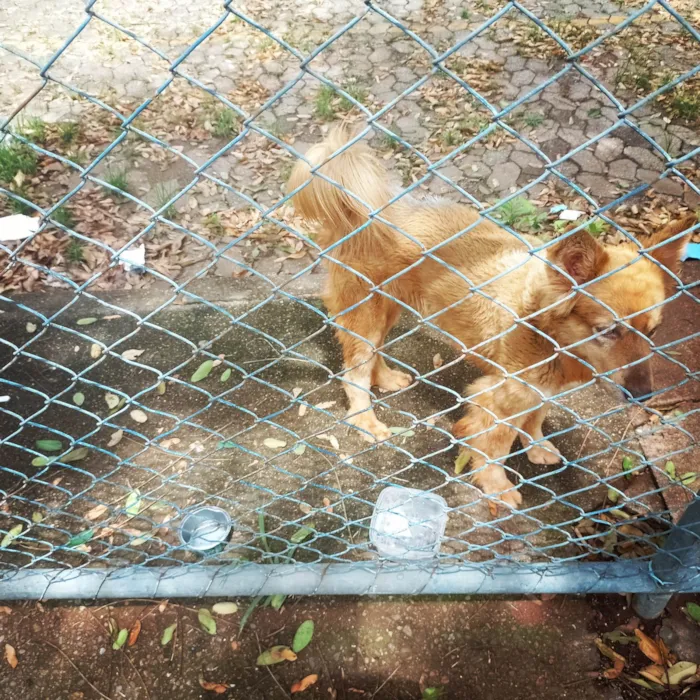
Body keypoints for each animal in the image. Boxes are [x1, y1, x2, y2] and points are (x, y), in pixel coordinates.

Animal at [288, 126, 696, 506]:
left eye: (653, 333)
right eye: (607, 331)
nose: (644, 396)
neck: (545, 331)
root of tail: (365, 208)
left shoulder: (539, 391)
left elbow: (535, 418)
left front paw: (536, 445)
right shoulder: (496, 400)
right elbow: (496, 447)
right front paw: (497, 487)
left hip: (387, 309)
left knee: (370, 357)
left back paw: (386, 379)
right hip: (367, 311)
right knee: (353, 371)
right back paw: (366, 420)